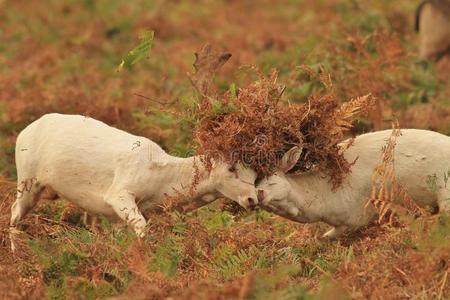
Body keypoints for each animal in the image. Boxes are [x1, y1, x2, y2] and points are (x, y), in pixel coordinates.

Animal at [10, 113, 258, 250]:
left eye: (255, 175)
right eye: (231, 168)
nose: (252, 199)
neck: (159, 185)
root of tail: (23, 131)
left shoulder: (118, 217)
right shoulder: (119, 193)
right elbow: (141, 228)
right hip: (26, 179)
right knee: (14, 211)